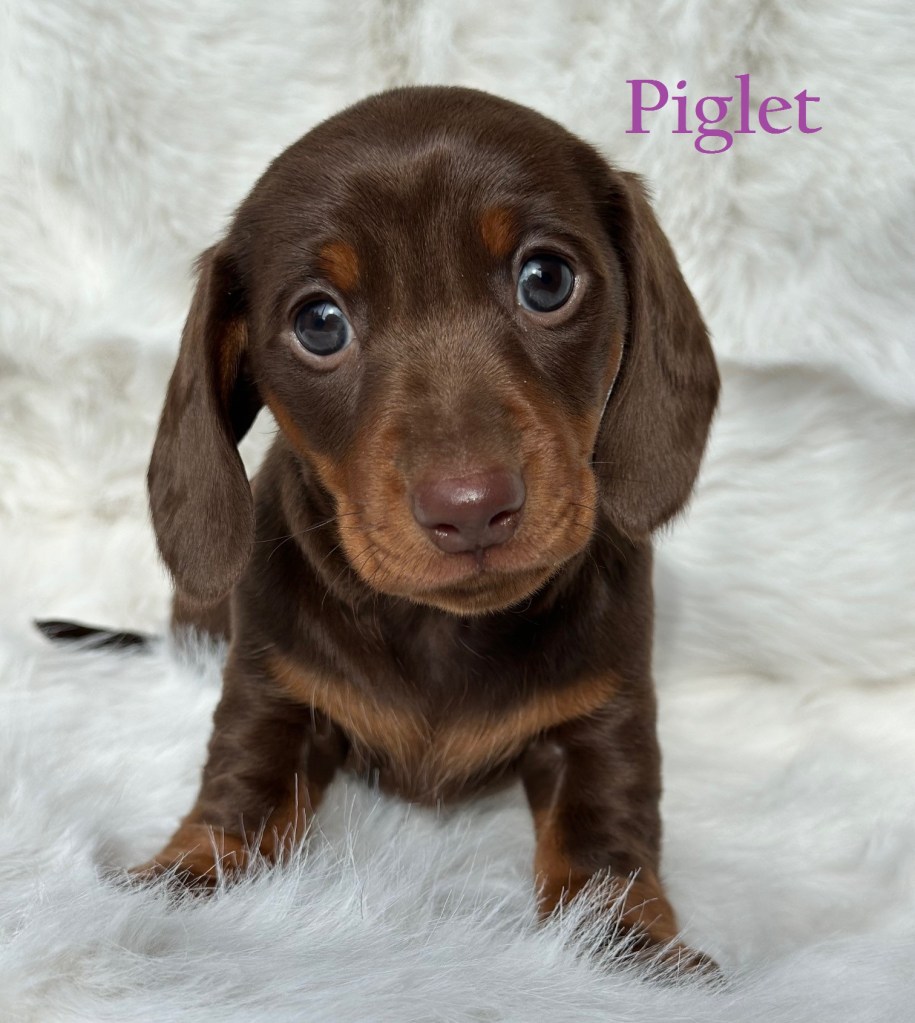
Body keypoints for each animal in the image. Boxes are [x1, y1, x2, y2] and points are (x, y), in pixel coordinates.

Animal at [41, 86, 719, 971]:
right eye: (319, 323)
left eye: (546, 279)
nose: (470, 505)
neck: (437, 628)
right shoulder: (271, 690)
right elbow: (239, 791)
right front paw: (181, 873)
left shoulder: (603, 715)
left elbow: (603, 835)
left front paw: (626, 943)